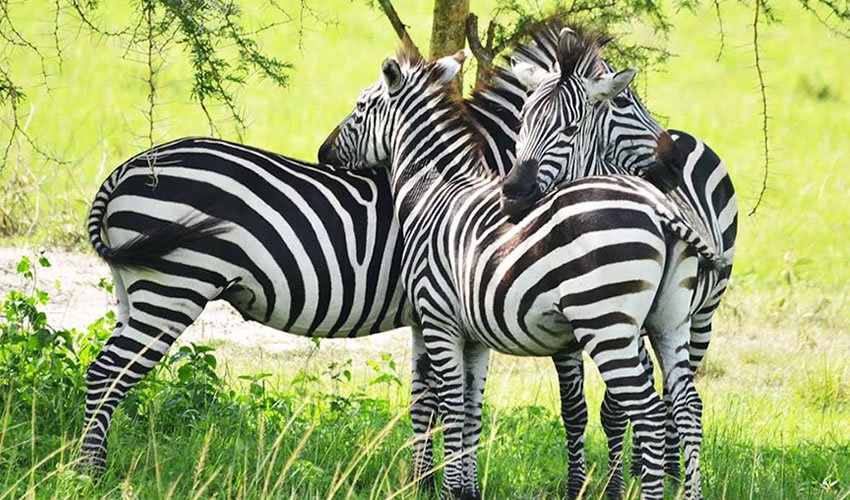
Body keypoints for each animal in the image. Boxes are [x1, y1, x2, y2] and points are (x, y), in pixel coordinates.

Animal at [318, 47, 722, 499]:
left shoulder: (439, 322)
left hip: (607, 323)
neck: (434, 193)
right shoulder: (474, 335)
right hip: (669, 321)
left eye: (359, 107)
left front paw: (448, 490)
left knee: (649, 411)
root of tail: (657, 207)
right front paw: (466, 490)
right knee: (686, 406)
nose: (322, 153)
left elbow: (451, 406)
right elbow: (471, 410)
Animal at [502, 21, 737, 496]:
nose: (515, 192)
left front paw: (617, 484)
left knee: (679, 398)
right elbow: (577, 409)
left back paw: (671, 472)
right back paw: (652, 469)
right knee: (668, 397)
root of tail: (685, 135)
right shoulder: (574, 331)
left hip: (702, 315)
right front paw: (585, 485)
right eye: (521, 121)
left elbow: (617, 407)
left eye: (571, 128)